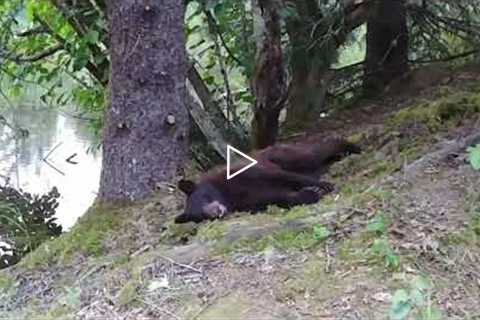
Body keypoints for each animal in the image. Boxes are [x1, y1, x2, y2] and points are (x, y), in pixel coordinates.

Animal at [175, 139, 360, 224]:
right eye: (200, 217)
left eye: (203, 198)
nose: (216, 213)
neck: (227, 195)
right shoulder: (247, 201)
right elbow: (275, 198)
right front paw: (309, 194)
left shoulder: (243, 174)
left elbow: (281, 176)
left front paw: (322, 186)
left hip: (283, 156)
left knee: (313, 154)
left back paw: (351, 147)